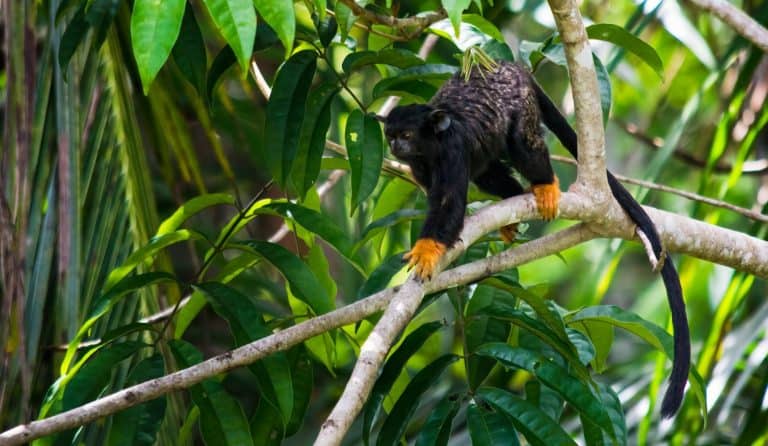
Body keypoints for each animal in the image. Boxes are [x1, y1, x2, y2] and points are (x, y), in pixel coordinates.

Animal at [382, 61, 689, 417]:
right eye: (391, 135)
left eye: (406, 135)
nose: (395, 146)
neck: (429, 148)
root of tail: (513, 66)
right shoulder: (419, 166)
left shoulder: (452, 147)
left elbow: (449, 202)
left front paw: (427, 251)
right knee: (488, 170)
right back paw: (513, 197)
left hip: (522, 105)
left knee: (523, 144)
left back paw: (545, 183)